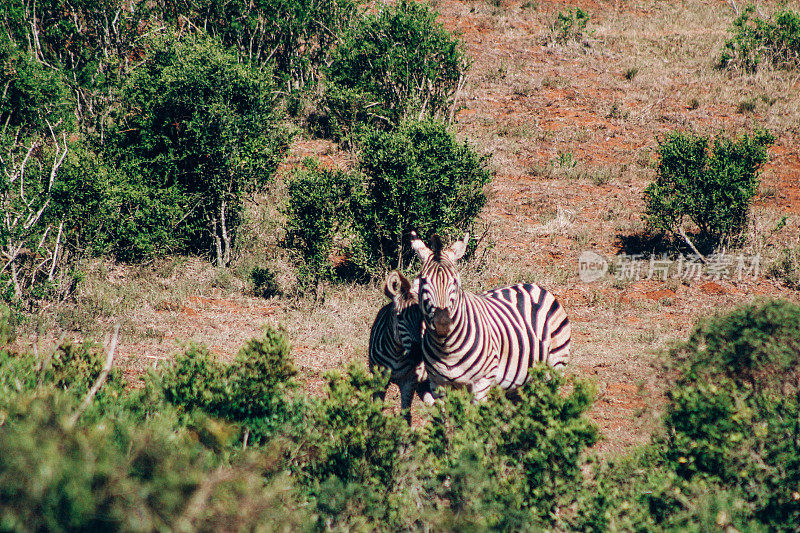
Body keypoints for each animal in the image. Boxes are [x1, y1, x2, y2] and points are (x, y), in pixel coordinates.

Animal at [410, 231, 572, 402]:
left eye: (455, 281)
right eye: (423, 281)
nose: (442, 325)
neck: (446, 350)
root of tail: (535, 286)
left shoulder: (482, 383)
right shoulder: (437, 385)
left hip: (556, 361)